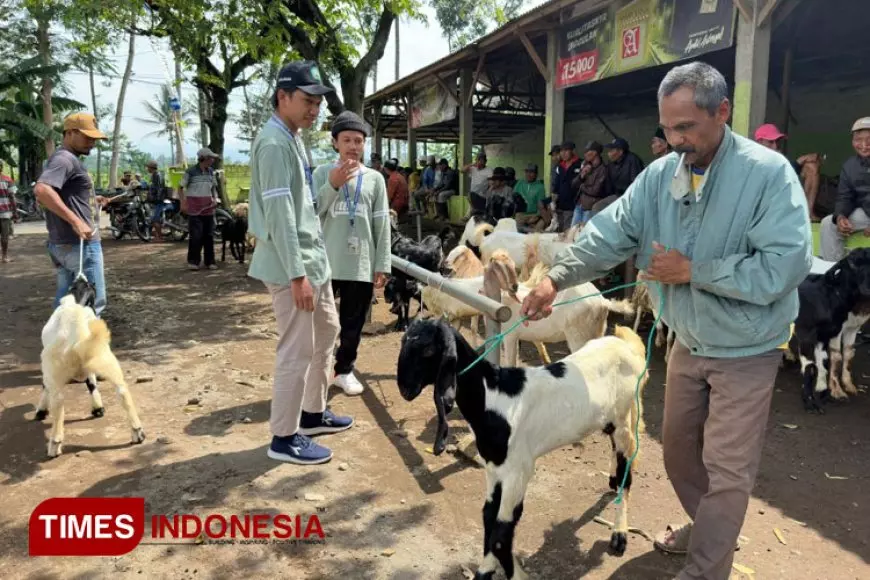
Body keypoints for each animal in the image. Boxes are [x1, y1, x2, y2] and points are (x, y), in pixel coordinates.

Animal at [398, 320, 652, 576]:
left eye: (428, 350)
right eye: (404, 341)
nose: (405, 389)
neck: (492, 397)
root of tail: (625, 344)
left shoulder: (519, 471)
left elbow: (501, 536)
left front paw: (515, 574)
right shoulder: (494, 469)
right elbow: (489, 518)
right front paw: (485, 571)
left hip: (623, 418)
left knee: (626, 470)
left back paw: (619, 532)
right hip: (611, 420)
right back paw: (611, 481)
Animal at [792, 248, 870, 412]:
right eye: (851, 263)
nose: (868, 288)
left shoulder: (845, 329)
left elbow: (844, 355)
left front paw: (832, 388)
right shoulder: (809, 333)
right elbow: (827, 359)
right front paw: (833, 392)